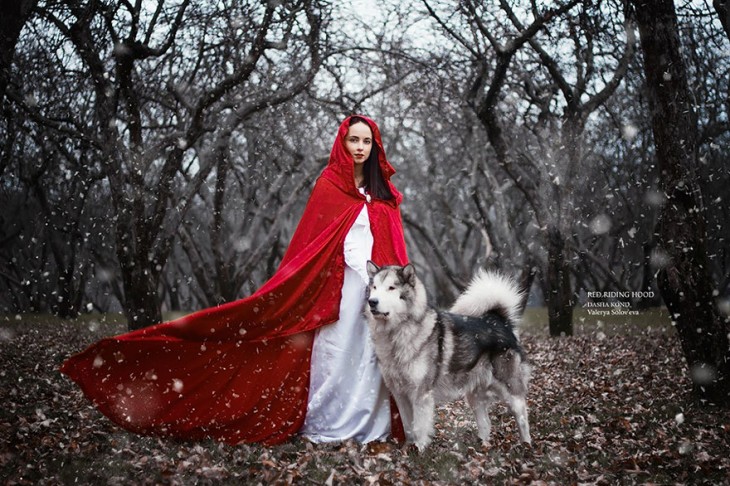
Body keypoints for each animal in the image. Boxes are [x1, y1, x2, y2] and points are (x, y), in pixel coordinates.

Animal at [364, 262, 528, 452]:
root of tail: (498, 320)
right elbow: (408, 427)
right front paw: (407, 450)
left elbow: (419, 427)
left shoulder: (421, 394)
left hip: (510, 391)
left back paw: (527, 445)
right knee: (486, 423)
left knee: (522, 416)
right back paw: (483, 447)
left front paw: (420, 451)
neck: (396, 335)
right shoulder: (400, 394)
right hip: (474, 397)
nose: (372, 302)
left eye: (391, 288)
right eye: (374, 288)